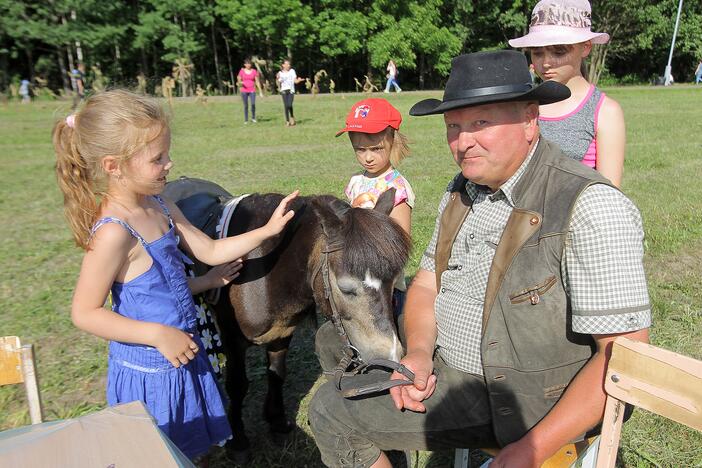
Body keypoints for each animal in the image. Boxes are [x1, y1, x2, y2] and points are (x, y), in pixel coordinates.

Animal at [164, 177, 412, 458]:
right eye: (347, 288)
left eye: (393, 285)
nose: (390, 357)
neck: (265, 269)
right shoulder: (232, 338)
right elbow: (237, 385)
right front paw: (238, 442)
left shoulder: (282, 332)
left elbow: (276, 374)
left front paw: (277, 421)